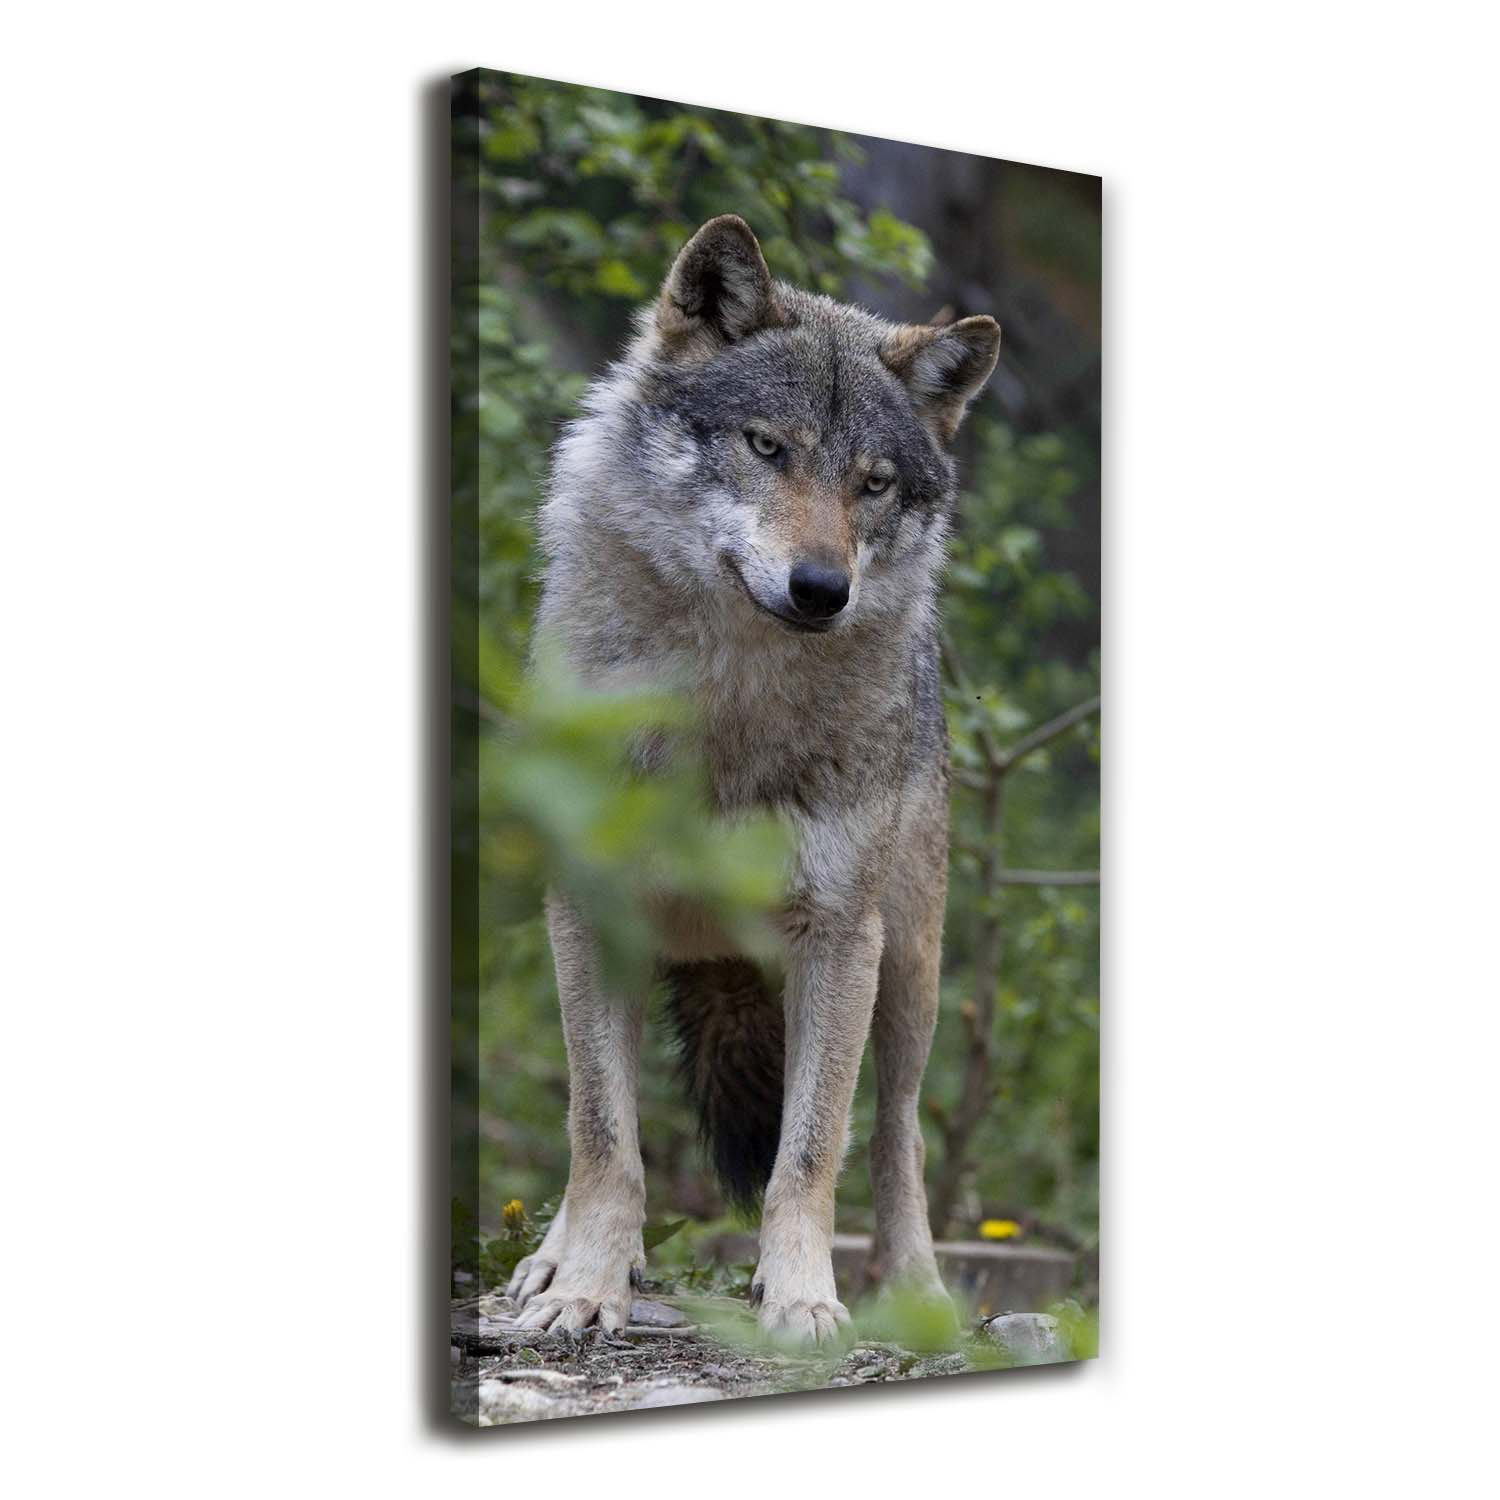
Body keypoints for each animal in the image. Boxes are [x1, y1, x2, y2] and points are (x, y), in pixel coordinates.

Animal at [505, 216, 1000, 1345]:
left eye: (873, 482)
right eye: (767, 447)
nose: (822, 589)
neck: (725, 709)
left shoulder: (840, 939)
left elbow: (811, 1153)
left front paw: (805, 1300)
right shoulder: (588, 908)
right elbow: (601, 1135)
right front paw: (587, 1286)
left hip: (910, 969)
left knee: (900, 1135)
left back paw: (919, 1294)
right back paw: (550, 1260)